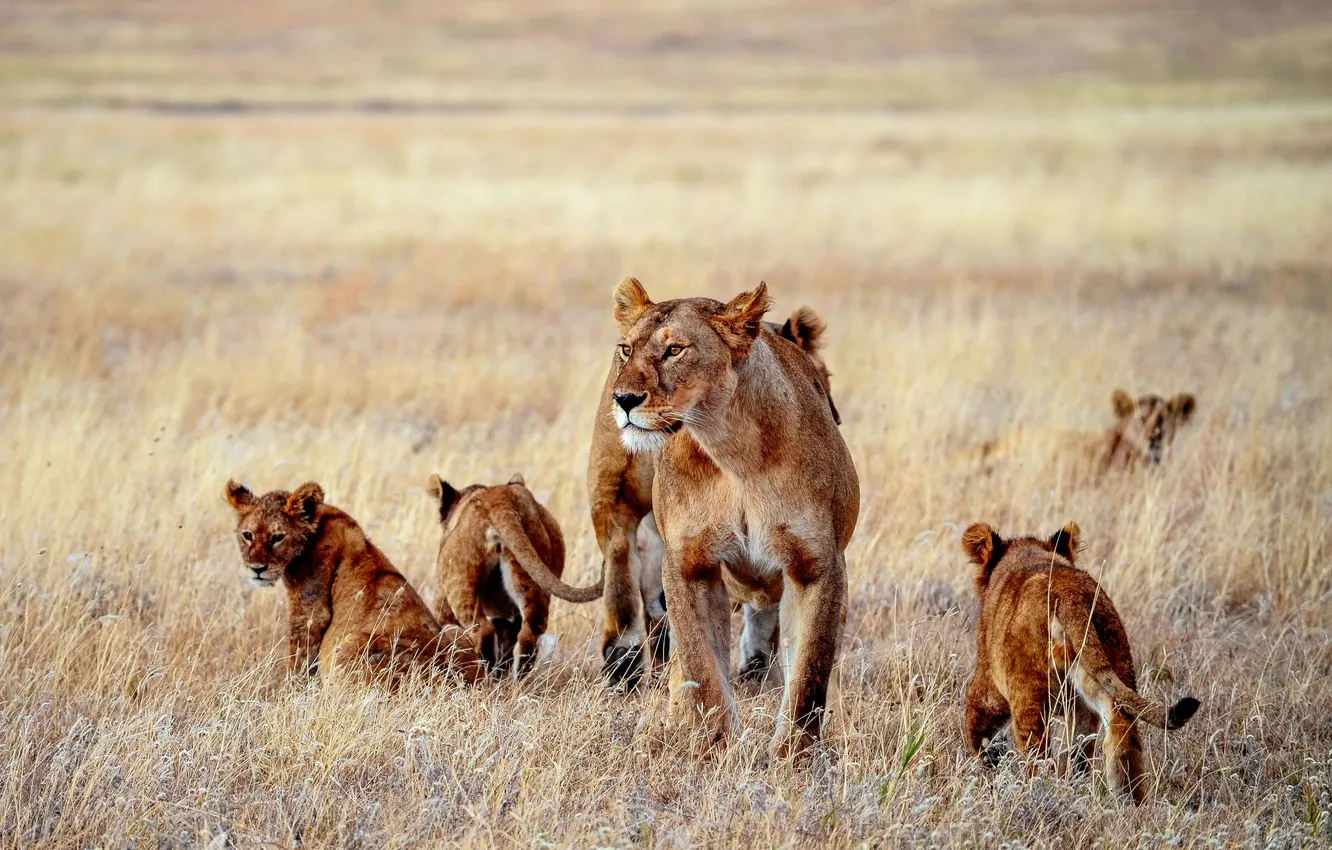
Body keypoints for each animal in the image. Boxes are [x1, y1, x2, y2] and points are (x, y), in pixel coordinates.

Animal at [225, 479, 481, 684]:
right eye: (247, 535)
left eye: (277, 537)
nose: (257, 569)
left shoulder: (310, 609)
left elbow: (299, 658)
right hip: (456, 630)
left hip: (351, 642)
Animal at [427, 472, 597, 678]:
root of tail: (502, 500)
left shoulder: (442, 602)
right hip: (529, 578)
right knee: (529, 632)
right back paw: (515, 679)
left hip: (458, 583)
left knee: (482, 629)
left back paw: (487, 674)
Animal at [608, 278, 859, 758]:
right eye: (625, 349)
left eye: (675, 350)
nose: (623, 399)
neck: (733, 450)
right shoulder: (690, 565)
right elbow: (702, 670)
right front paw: (717, 749)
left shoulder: (817, 565)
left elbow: (810, 673)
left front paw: (793, 758)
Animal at [961, 521, 1200, 803]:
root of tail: (1069, 595)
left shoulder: (989, 681)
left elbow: (979, 727)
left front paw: (988, 770)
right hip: (1107, 670)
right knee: (1114, 735)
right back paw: (1127, 802)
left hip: (1028, 695)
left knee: (1040, 758)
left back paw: (1040, 796)